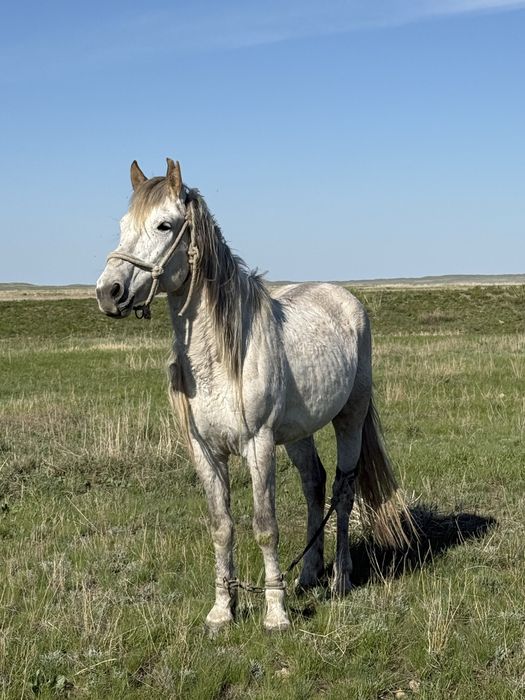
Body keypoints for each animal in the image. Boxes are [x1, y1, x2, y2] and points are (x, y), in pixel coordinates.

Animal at [96, 158, 412, 631]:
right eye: (121, 225)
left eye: (165, 225)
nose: (107, 292)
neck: (220, 358)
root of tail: (346, 299)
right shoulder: (205, 451)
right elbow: (222, 527)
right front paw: (222, 610)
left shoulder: (258, 445)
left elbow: (265, 527)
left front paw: (275, 614)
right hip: (299, 433)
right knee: (314, 483)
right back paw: (307, 575)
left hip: (350, 420)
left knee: (343, 491)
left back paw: (340, 579)